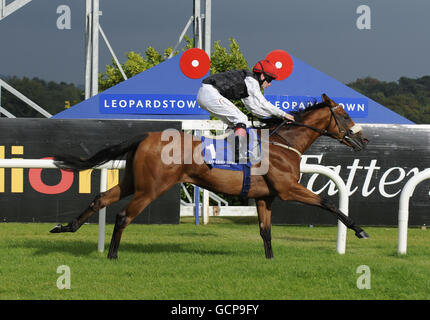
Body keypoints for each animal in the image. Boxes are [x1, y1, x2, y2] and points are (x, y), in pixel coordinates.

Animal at [51, 94, 370, 258]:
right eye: (344, 116)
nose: (364, 139)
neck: (282, 144)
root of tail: (145, 135)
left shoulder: (265, 197)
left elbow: (265, 231)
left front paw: (270, 261)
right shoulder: (289, 188)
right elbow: (328, 204)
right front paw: (360, 230)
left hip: (133, 182)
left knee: (101, 198)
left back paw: (66, 227)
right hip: (151, 188)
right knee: (122, 216)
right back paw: (112, 254)